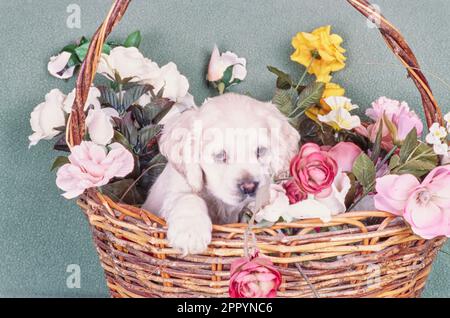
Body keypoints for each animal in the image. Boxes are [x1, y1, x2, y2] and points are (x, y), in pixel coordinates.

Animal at [143, 92, 298, 253]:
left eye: (260, 151)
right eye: (220, 155)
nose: (249, 187)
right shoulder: (174, 191)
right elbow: (187, 197)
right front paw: (190, 232)